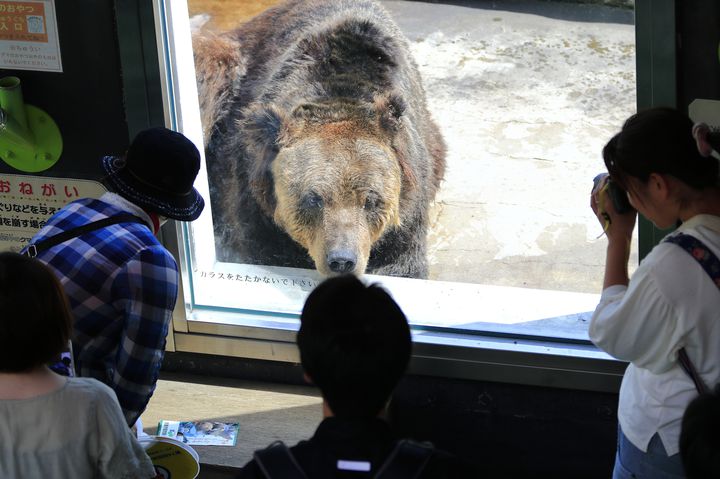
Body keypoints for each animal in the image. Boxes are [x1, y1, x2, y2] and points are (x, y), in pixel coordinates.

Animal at [194, 0, 448, 278]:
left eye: (371, 199)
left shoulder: (408, 209)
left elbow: (401, 264)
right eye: (313, 198)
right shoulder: (254, 199)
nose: (342, 260)